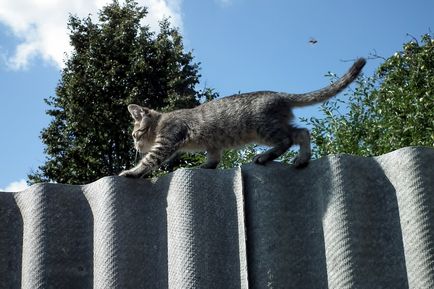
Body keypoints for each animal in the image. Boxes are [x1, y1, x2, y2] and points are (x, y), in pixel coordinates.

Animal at [118, 57, 366, 177]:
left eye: (135, 134)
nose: (135, 145)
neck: (162, 121)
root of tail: (280, 95)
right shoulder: (213, 145)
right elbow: (213, 158)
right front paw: (206, 167)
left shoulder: (168, 140)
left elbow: (151, 160)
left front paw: (132, 171)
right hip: (274, 125)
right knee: (302, 132)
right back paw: (302, 159)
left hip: (263, 128)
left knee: (288, 139)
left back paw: (266, 157)